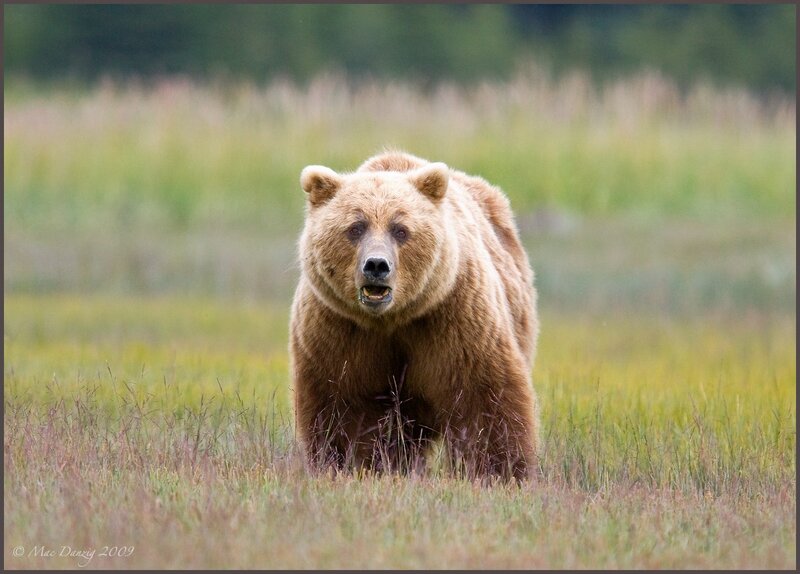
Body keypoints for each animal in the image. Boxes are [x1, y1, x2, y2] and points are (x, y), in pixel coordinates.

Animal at [289, 150, 539, 481]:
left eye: (400, 229)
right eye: (356, 227)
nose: (377, 265)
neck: (391, 319)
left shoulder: (453, 317)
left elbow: (484, 398)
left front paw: (501, 472)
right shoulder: (338, 329)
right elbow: (340, 404)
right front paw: (351, 466)